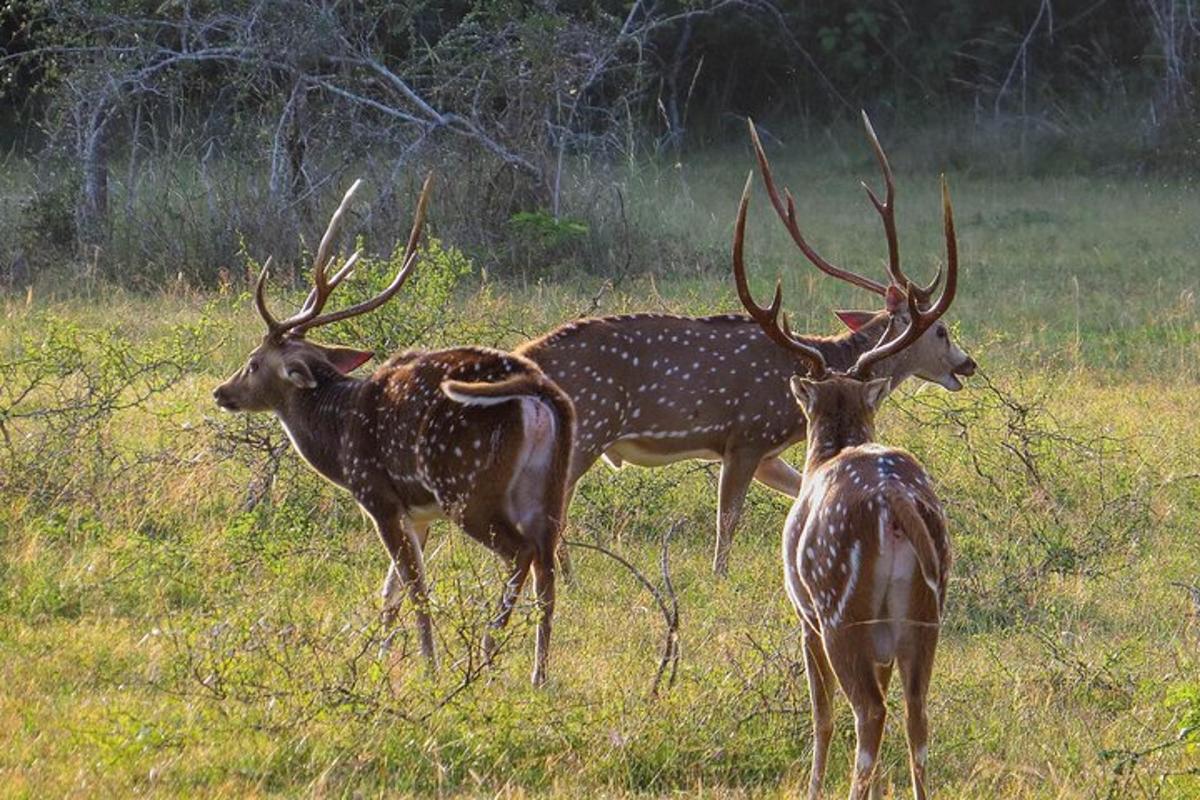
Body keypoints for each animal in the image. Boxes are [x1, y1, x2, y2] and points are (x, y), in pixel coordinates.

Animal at [210, 178, 571, 686]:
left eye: (253, 362)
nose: (221, 392)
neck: (337, 434)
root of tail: (539, 392)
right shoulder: (417, 512)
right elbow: (391, 591)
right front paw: (381, 658)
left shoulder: (378, 496)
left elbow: (415, 587)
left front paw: (427, 666)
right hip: (549, 486)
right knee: (547, 566)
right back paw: (538, 675)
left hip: (468, 485)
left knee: (520, 553)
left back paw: (484, 652)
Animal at [516, 112, 974, 575]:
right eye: (941, 330)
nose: (967, 363)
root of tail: (525, 356)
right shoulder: (747, 435)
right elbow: (728, 522)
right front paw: (719, 576)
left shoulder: (768, 452)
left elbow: (799, 491)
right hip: (587, 427)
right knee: (552, 508)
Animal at [729, 169, 955, 800]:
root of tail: (896, 502)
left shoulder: (802, 611)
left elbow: (820, 714)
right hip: (924, 612)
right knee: (917, 714)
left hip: (838, 609)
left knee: (866, 714)